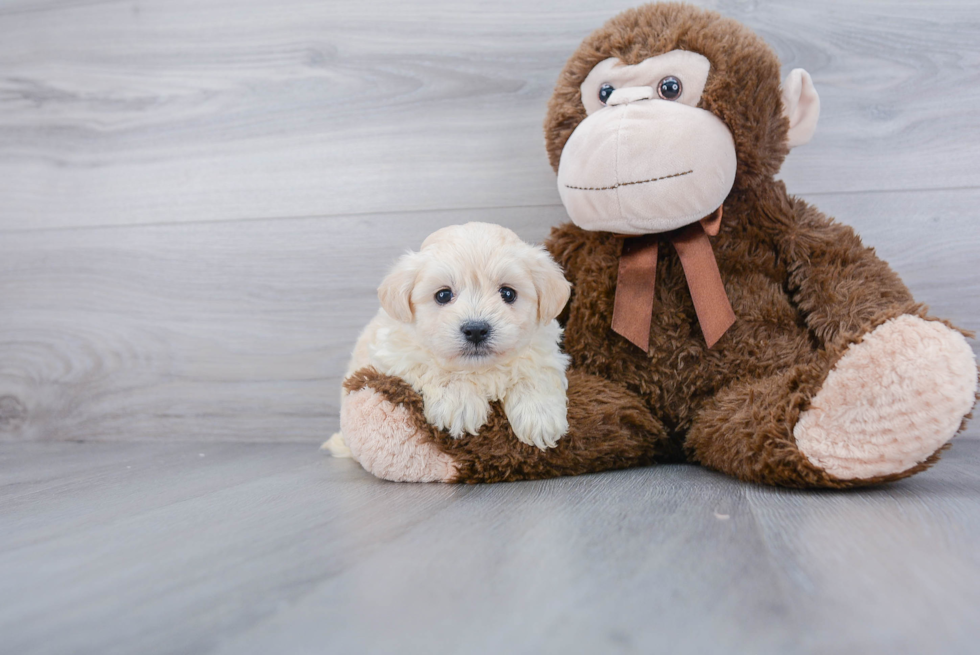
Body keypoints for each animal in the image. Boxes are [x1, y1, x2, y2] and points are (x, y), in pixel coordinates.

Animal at [328, 223, 576, 454]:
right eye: (443, 295)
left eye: (508, 293)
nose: (476, 329)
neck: (480, 370)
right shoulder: (397, 354)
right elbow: (436, 368)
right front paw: (459, 402)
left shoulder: (544, 351)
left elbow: (534, 373)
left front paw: (540, 415)